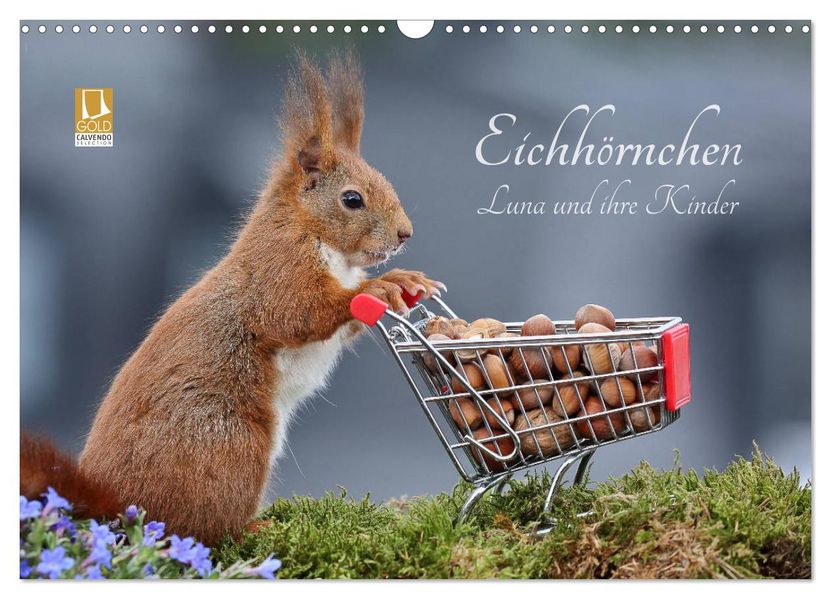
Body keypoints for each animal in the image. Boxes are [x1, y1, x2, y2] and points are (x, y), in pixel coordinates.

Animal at [20, 52, 442, 545]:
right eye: (352, 199)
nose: (405, 234)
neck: (322, 241)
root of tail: (117, 505)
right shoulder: (278, 269)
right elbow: (298, 312)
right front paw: (380, 286)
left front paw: (407, 281)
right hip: (229, 443)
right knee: (204, 528)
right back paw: (254, 527)